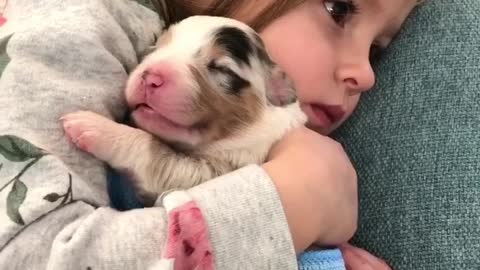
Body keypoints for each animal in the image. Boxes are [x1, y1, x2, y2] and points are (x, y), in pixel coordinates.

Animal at [62, 15, 306, 205]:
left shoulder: (216, 171)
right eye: (154, 49)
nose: (150, 78)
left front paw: (95, 127)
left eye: (222, 69)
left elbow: (152, 150)